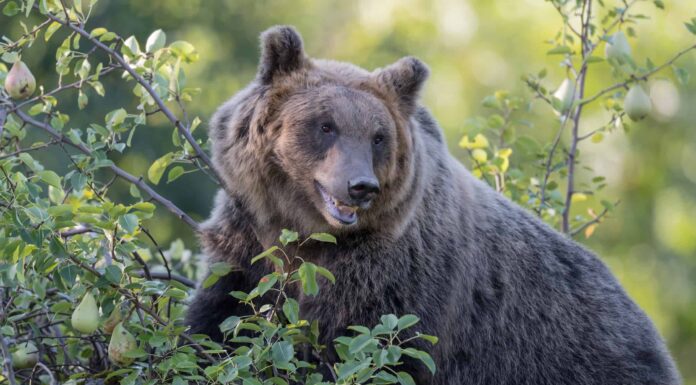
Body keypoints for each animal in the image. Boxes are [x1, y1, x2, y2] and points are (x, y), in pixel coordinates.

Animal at [185, 25, 680, 382]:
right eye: (325, 125)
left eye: (378, 137)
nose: (361, 186)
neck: (308, 234)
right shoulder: (248, 239)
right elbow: (219, 320)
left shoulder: (394, 279)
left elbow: (365, 348)